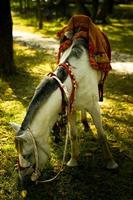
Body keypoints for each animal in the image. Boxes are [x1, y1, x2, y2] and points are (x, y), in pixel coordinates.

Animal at [10, 38, 118, 183]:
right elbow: (73, 135)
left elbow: (102, 136)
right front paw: (73, 161)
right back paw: (84, 122)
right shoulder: (70, 109)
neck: (74, 79)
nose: (22, 179)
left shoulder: (95, 107)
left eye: (27, 155)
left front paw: (111, 163)